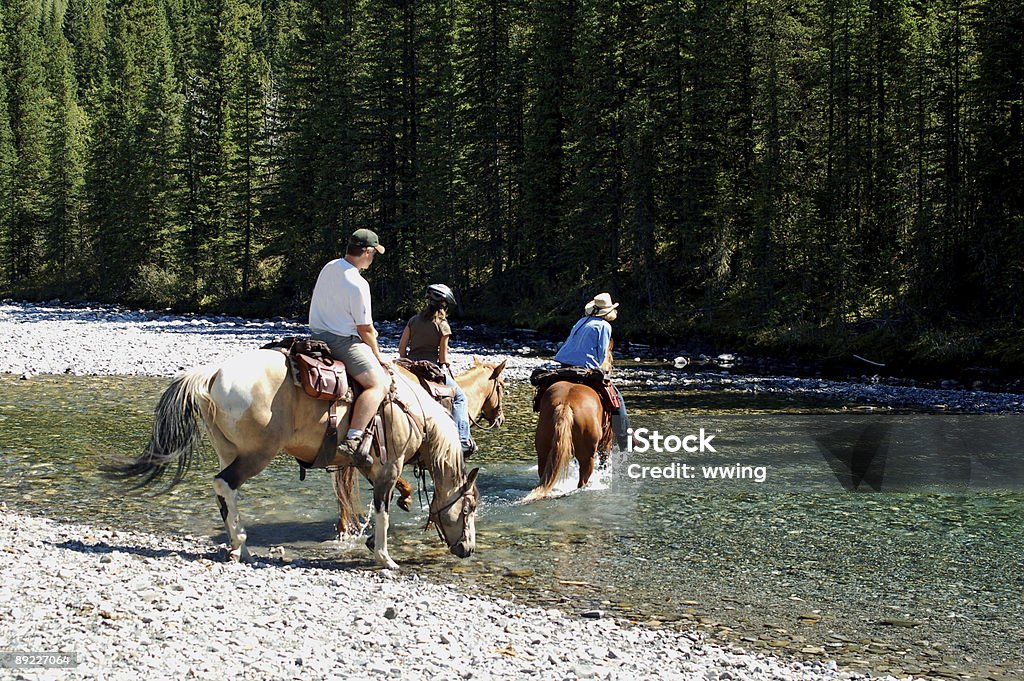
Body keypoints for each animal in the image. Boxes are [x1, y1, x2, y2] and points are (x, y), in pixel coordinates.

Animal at [111, 348, 479, 565]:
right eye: (469, 507)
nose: (468, 549)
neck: (413, 410)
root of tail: (213, 374)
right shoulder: (390, 464)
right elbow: (383, 510)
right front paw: (385, 558)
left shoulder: (371, 466)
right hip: (257, 454)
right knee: (224, 484)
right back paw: (241, 544)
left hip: (227, 450)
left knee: (224, 493)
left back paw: (238, 547)